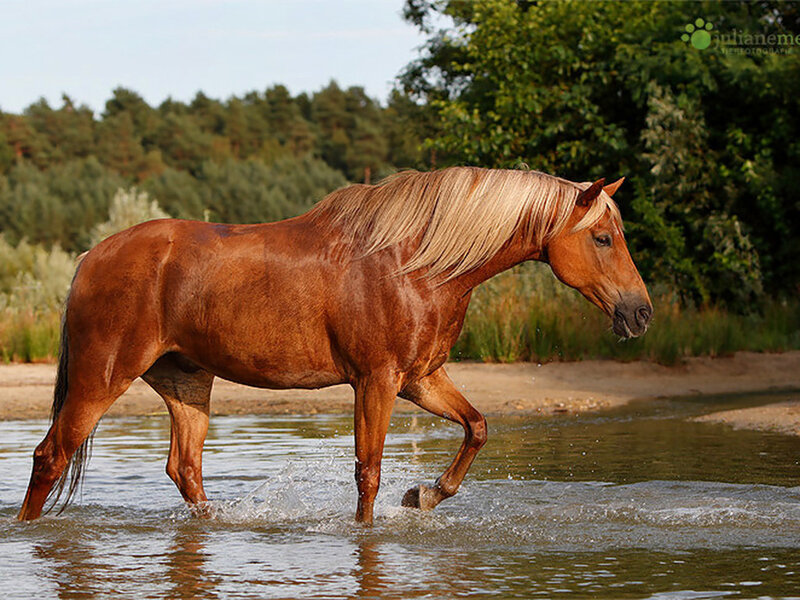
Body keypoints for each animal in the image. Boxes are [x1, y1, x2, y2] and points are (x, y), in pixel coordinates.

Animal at [17, 167, 652, 524]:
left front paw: (424, 496)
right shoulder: (376, 380)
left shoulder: (420, 379)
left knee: (185, 469)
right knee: (50, 457)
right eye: (602, 238)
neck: (414, 263)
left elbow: (477, 427)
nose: (639, 312)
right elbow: (368, 470)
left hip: (185, 381)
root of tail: (91, 257)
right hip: (101, 379)